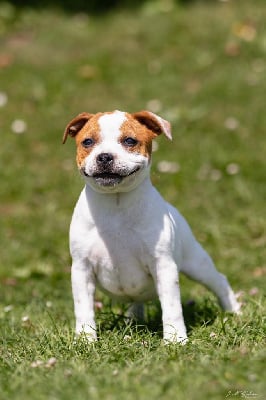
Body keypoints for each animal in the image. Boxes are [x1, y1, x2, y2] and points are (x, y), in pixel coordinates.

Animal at [62, 110, 241, 344]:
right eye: (88, 142)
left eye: (130, 141)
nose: (105, 156)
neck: (115, 204)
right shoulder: (81, 268)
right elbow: (83, 308)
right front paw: (85, 339)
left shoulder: (163, 265)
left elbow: (172, 307)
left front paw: (175, 339)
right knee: (135, 301)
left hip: (197, 264)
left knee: (219, 280)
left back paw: (234, 311)